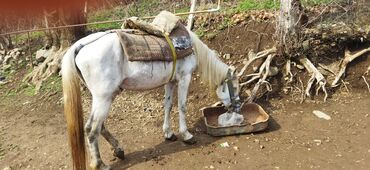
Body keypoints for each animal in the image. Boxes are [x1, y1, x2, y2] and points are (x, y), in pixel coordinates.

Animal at [61, 28, 240, 169]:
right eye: (236, 86)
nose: (237, 107)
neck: (191, 47)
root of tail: (80, 46)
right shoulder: (185, 78)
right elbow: (182, 106)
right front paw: (186, 135)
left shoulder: (171, 81)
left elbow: (168, 105)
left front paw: (168, 133)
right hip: (103, 98)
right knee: (91, 129)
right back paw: (100, 164)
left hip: (103, 98)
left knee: (100, 126)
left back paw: (118, 150)